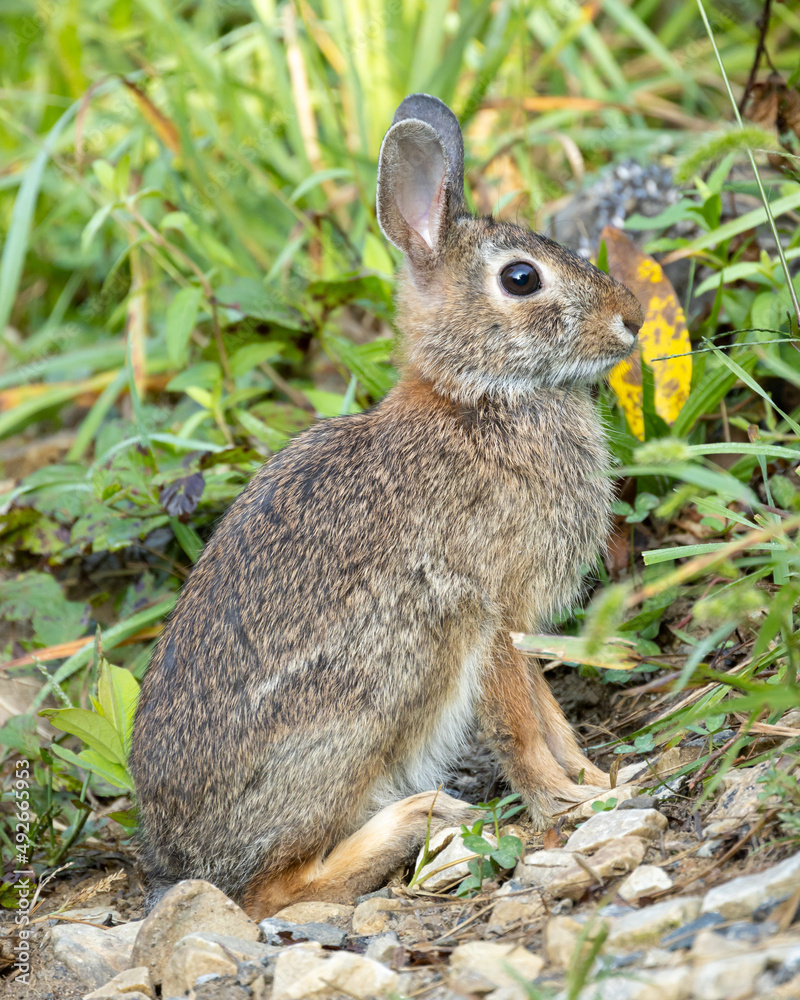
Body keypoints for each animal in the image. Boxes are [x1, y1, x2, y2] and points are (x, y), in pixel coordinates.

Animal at [129, 93, 643, 920]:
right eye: (521, 278)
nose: (631, 320)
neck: (479, 399)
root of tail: (183, 856)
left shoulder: (516, 624)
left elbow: (550, 713)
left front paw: (596, 780)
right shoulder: (488, 616)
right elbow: (520, 724)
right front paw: (563, 804)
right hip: (370, 706)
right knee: (272, 892)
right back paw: (418, 817)